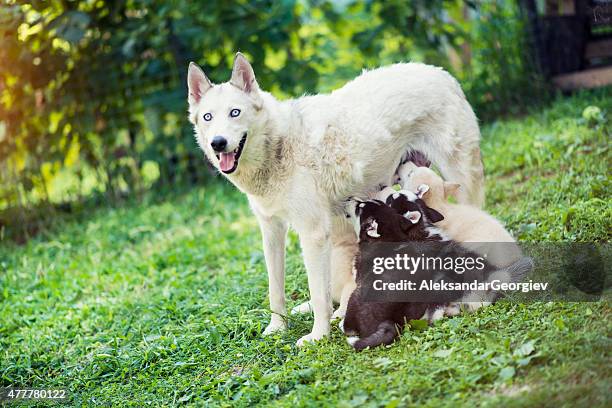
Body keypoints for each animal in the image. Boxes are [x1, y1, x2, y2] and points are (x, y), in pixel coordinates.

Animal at [185, 53, 482, 348]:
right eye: (208, 117)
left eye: (235, 112)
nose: (218, 143)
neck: (278, 147)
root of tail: (441, 73)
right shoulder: (271, 230)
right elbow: (275, 290)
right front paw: (277, 328)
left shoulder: (313, 234)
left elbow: (319, 294)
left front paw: (318, 336)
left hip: (462, 182)